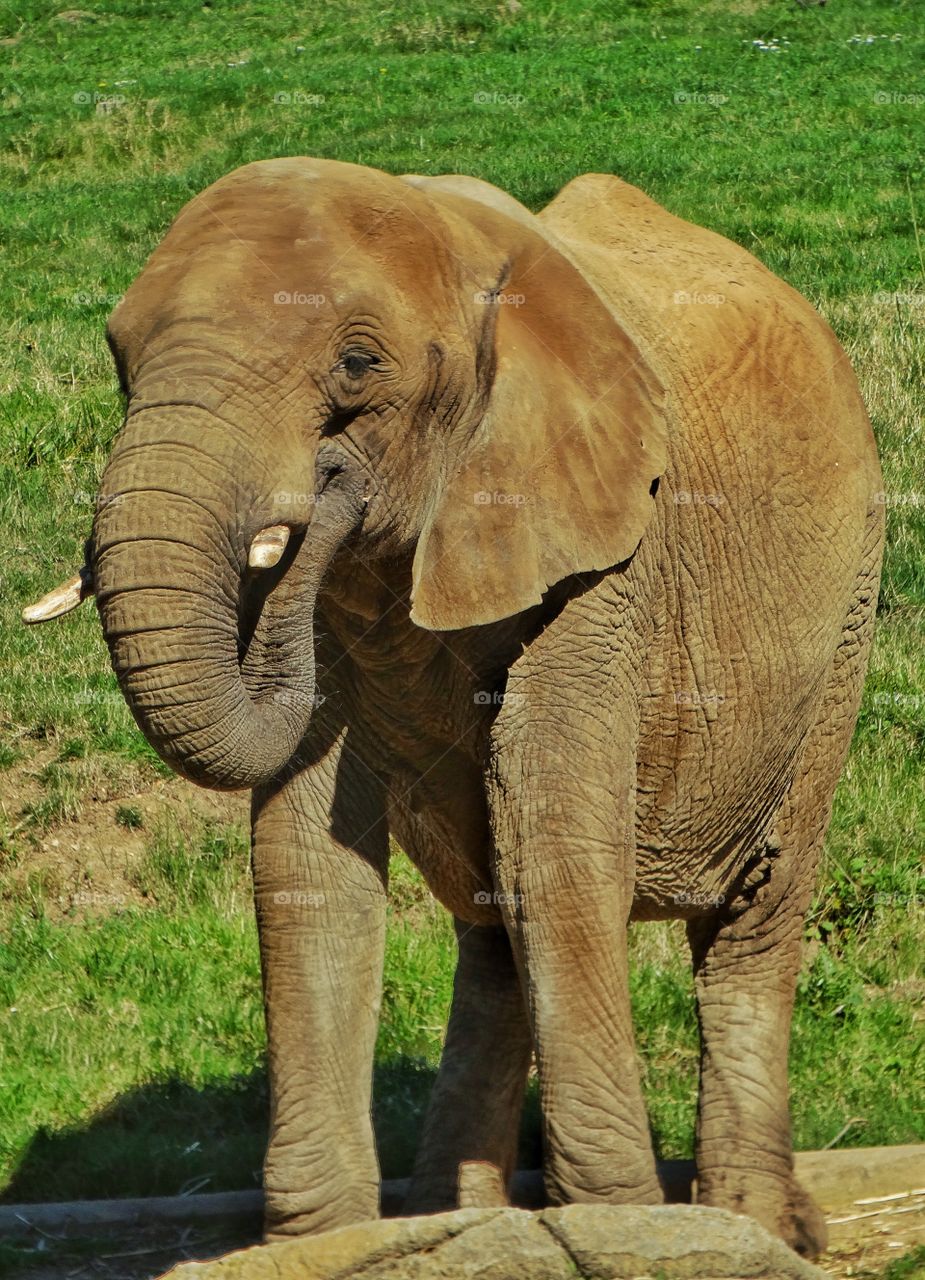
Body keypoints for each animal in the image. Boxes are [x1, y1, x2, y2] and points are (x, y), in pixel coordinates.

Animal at [25, 157, 883, 1258]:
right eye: (120, 359)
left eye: (357, 365)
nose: (307, 514)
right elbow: (305, 848)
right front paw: (321, 1239)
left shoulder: (611, 554)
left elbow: (550, 828)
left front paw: (617, 1219)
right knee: (490, 916)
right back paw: (455, 1212)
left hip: (842, 621)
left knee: (751, 916)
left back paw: (755, 1223)